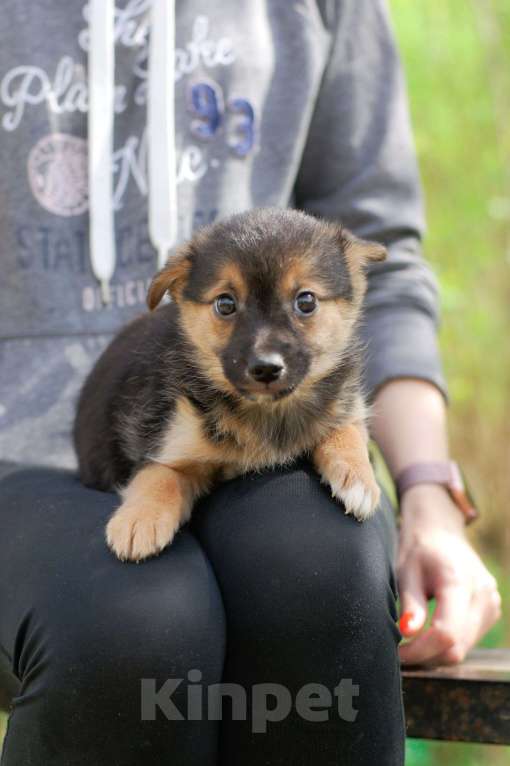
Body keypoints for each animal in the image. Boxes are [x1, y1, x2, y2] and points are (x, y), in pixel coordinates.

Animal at [73, 207, 386, 560]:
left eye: (306, 301)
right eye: (225, 304)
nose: (266, 368)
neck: (267, 413)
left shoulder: (345, 404)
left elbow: (347, 430)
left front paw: (359, 478)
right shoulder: (170, 444)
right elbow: (159, 475)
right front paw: (140, 519)